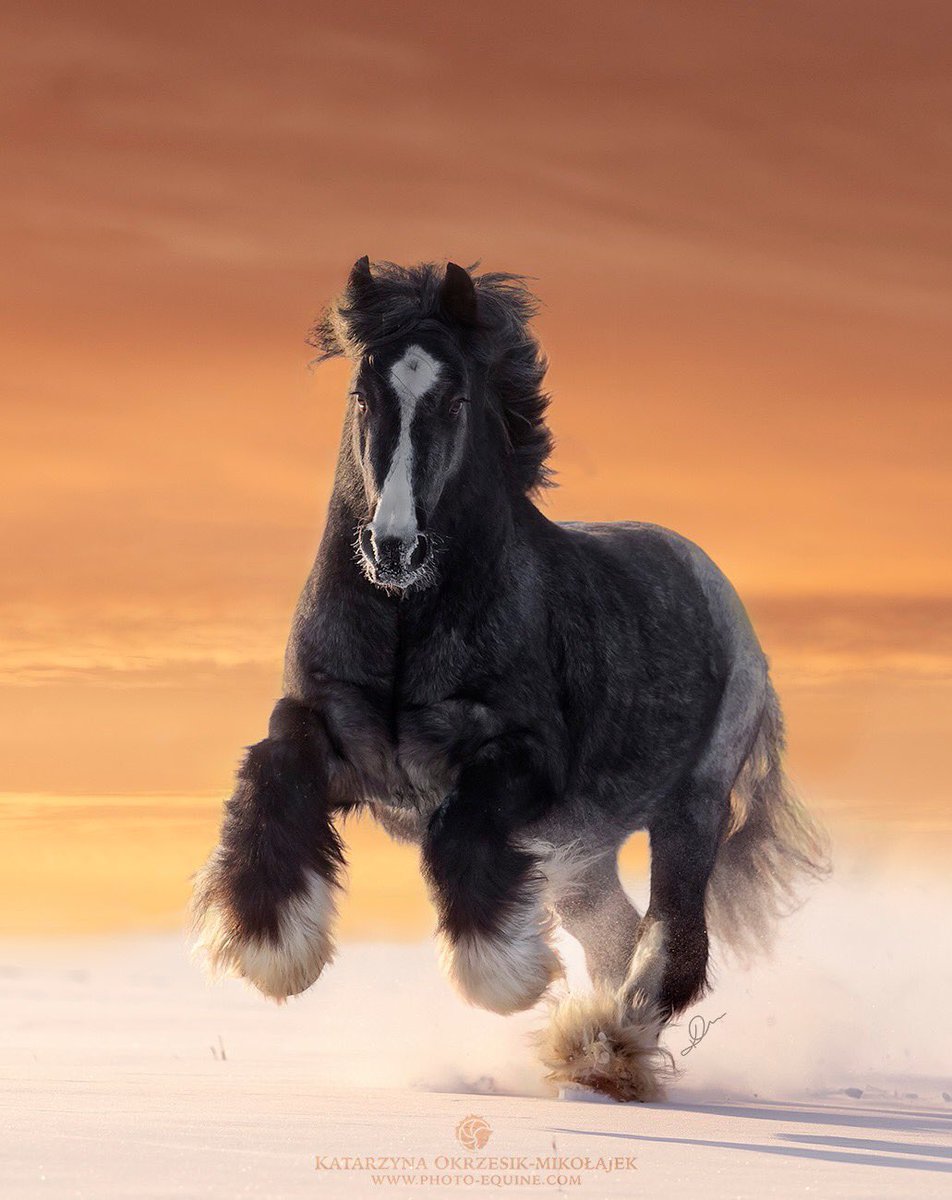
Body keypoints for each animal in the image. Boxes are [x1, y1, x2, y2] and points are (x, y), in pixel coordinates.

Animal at [191, 257, 829, 1102]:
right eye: (362, 393)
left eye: (456, 397)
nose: (393, 545)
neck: (404, 625)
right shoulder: (334, 734)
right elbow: (270, 774)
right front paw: (273, 949)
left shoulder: (518, 763)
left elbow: (460, 829)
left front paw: (502, 975)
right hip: (581, 856)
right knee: (615, 936)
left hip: (688, 809)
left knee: (672, 947)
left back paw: (602, 1050)